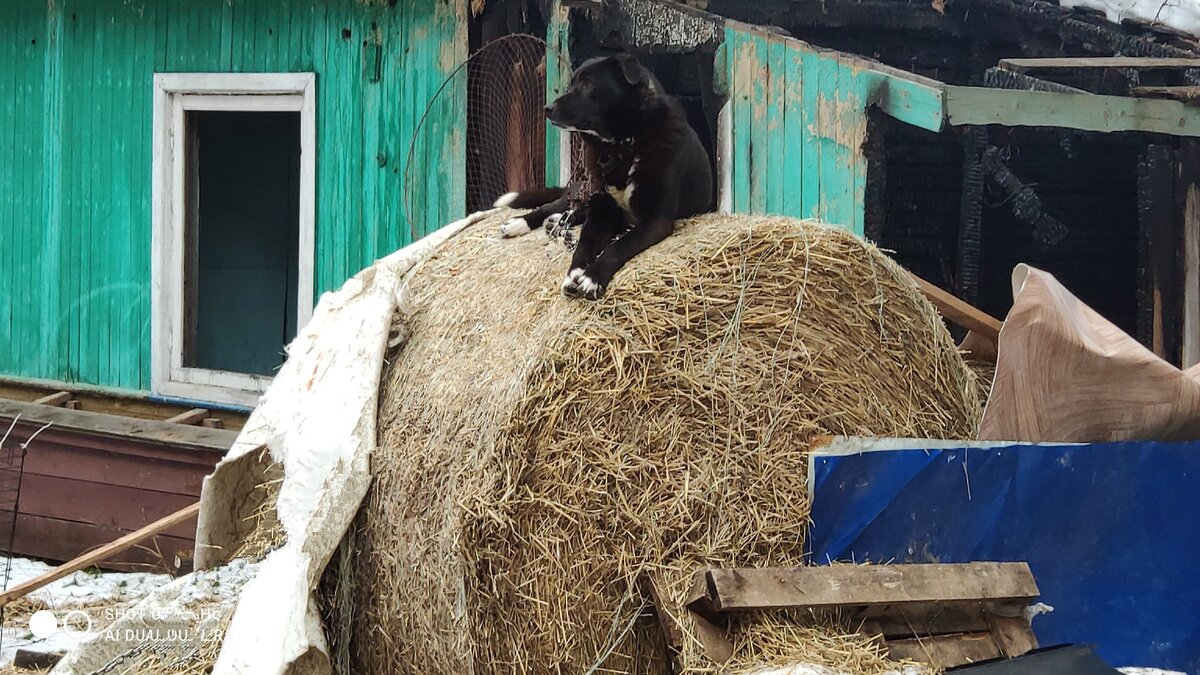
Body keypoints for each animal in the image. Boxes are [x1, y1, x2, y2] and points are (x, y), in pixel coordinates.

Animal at [496, 55, 710, 299]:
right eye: (571, 84)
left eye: (588, 83)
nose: (547, 108)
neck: (622, 146)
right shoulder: (601, 211)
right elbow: (583, 245)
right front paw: (574, 275)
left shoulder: (656, 220)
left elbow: (620, 245)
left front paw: (592, 278)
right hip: (581, 192)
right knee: (552, 206)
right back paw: (520, 222)